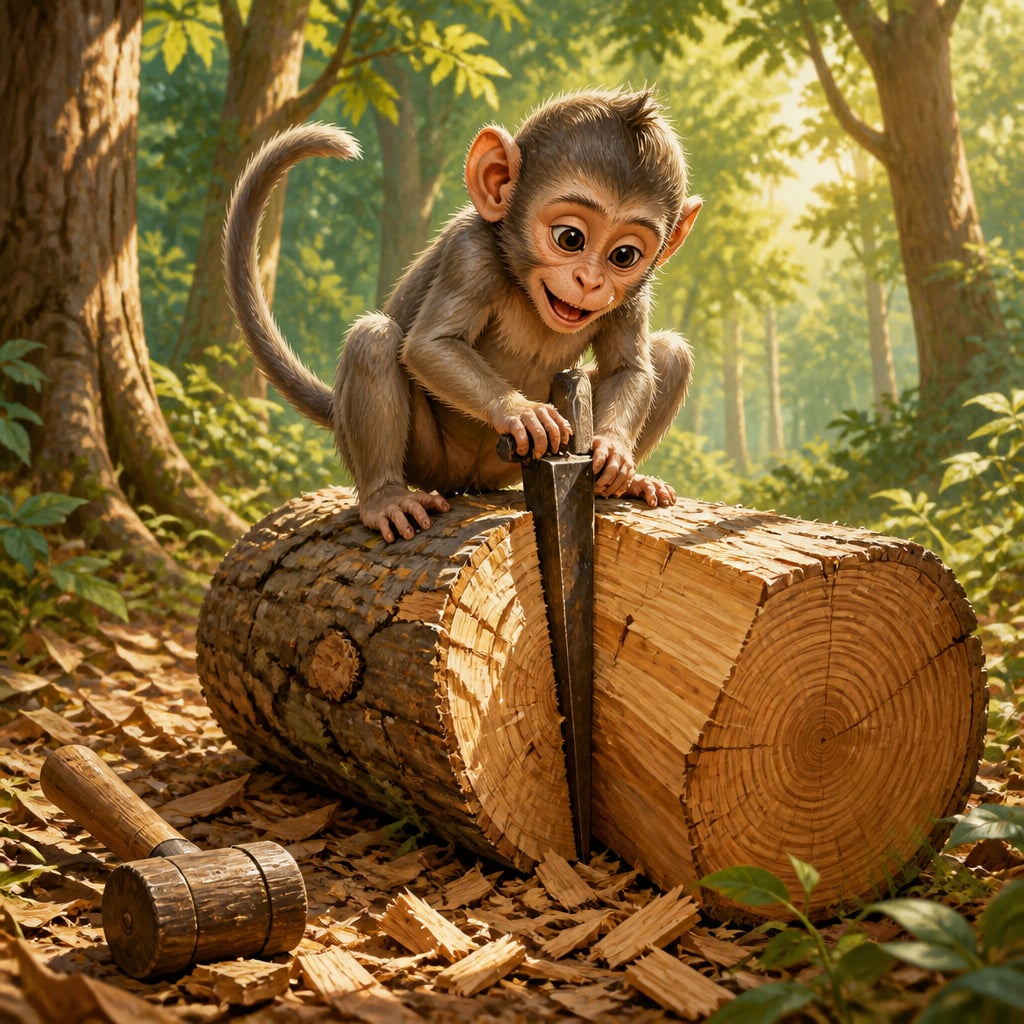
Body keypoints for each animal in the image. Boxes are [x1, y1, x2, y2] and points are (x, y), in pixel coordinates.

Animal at [224, 88, 701, 542]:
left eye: (624, 256)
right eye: (570, 238)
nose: (589, 281)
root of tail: (472, 482)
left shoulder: (634, 294)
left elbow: (629, 368)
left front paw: (613, 452)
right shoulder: (471, 253)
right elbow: (429, 346)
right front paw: (520, 411)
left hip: (501, 470)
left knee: (672, 354)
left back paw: (628, 483)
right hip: (432, 461)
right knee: (373, 339)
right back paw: (386, 498)